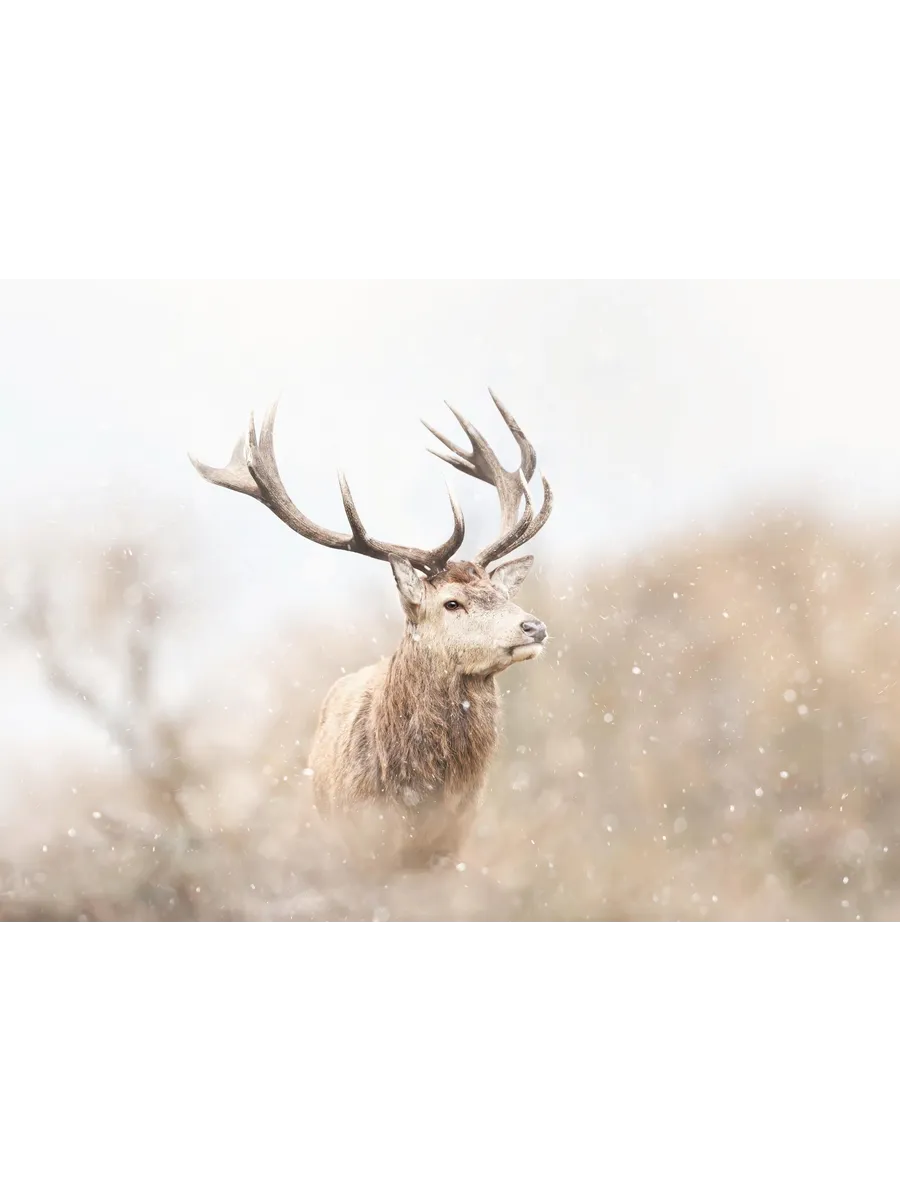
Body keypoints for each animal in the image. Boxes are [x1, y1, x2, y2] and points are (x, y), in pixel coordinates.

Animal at [190, 391, 553, 868]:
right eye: (451, 603)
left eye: (499, 591)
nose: (534, 626)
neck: (416, 793)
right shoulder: (362, 840)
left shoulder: (454, 840)